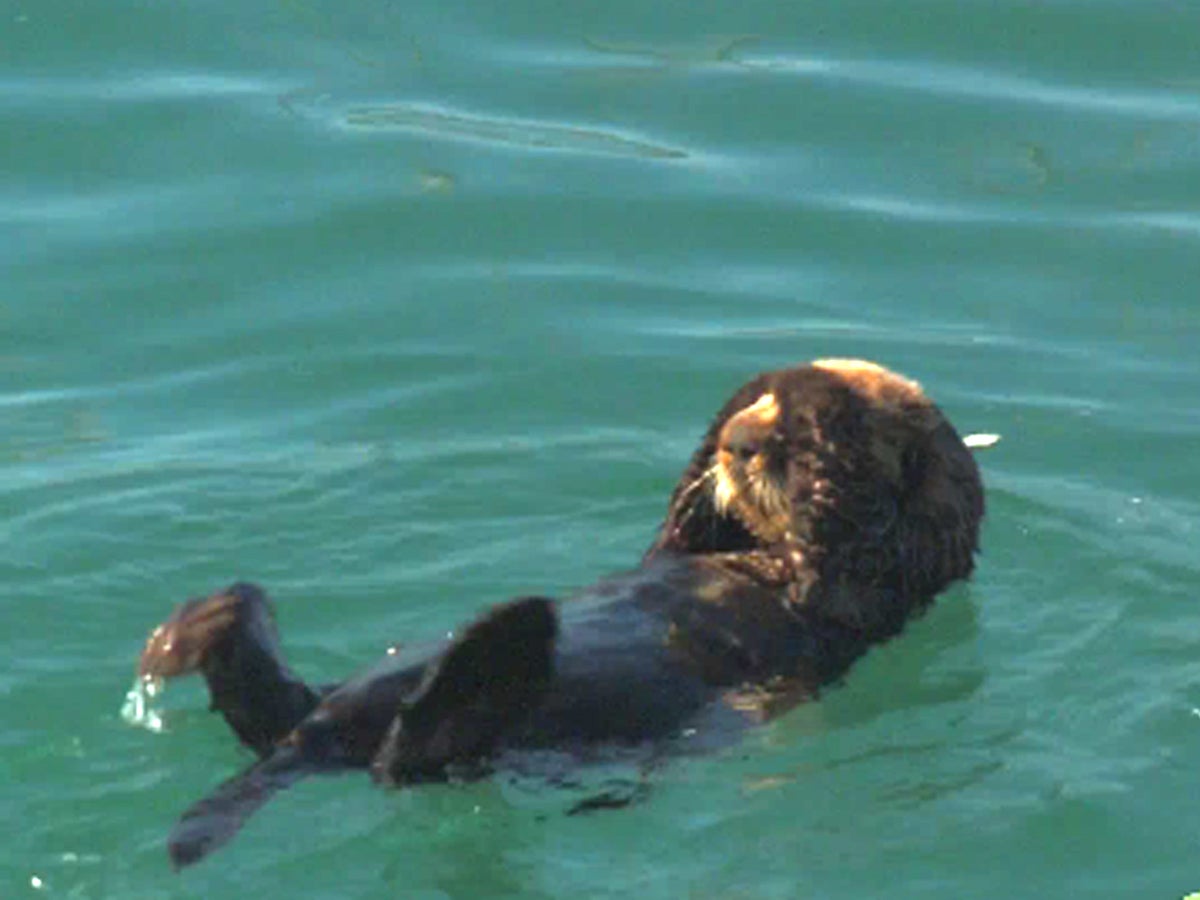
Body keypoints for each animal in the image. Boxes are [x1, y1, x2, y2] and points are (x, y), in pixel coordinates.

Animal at [134, 359, 985, 869]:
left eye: (803, 431)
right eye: (759, 411)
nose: (744, 442)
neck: (760, 556)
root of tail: (313, 744)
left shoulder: (865, 580)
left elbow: (867, 527)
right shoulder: (683, 545)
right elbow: (674, 530)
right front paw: (725, 430)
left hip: (464, 741)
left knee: (405, 755)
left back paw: (503, 636)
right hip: (336, 702)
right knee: (282, 712)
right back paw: (201, 625)